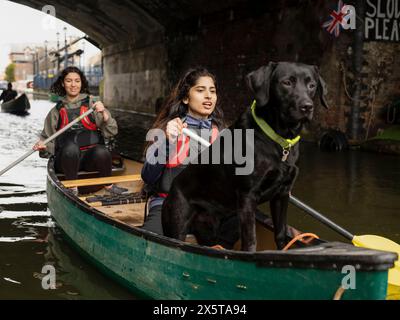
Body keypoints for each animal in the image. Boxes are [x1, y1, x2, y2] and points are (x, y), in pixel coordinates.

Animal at [162, 62, 328, 251]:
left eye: (312, 85)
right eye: (286, 82)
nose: (307, 106)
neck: (278, 139)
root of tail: (173, 187)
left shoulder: (282, 194)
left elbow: (280, 233)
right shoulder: (248, 196)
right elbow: (250, 240)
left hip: (207, 232)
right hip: (176, 225)